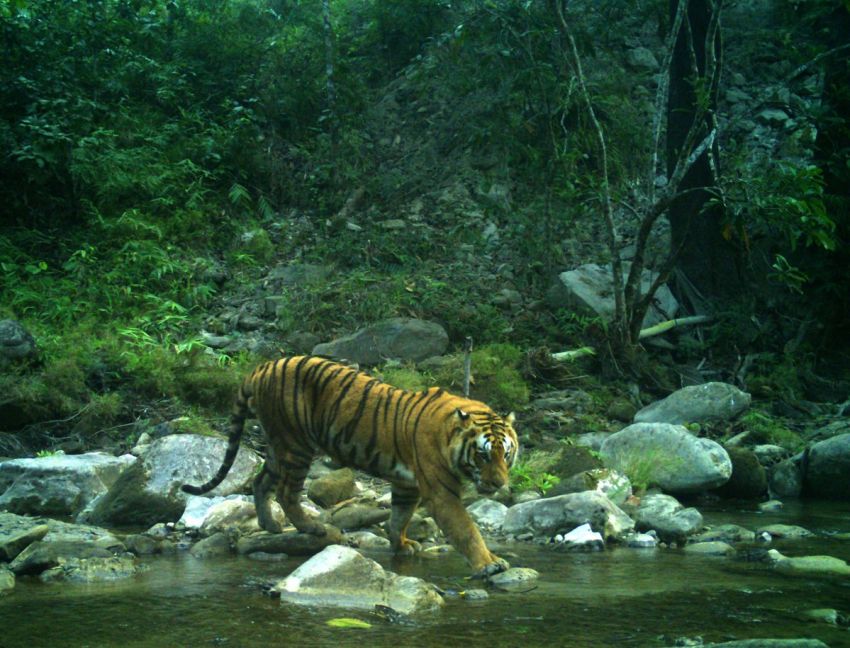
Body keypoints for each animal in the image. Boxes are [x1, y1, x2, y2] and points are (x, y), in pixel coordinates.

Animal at [183, 354, 516, 576]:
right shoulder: (441, 492)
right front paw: (489, 564)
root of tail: (263, 366)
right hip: (296, 445)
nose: (499, 484)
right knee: (287, 493)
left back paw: (270, 525)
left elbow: (399, 517)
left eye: (506, 455)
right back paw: (312, 527)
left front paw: (402, 545)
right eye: (483, 455)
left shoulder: (407, 484)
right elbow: (466, 529)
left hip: (279, 447)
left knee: (261, 481)